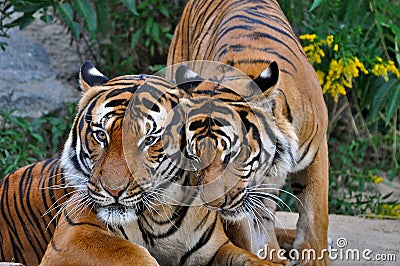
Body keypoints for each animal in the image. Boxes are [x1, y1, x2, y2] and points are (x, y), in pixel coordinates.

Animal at [167, 0, 330, 264]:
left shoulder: (316, 153)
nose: (214, 204)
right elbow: (245, 231)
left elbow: (314, 214)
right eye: (194, 157)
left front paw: (313, 258)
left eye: (233, 153)